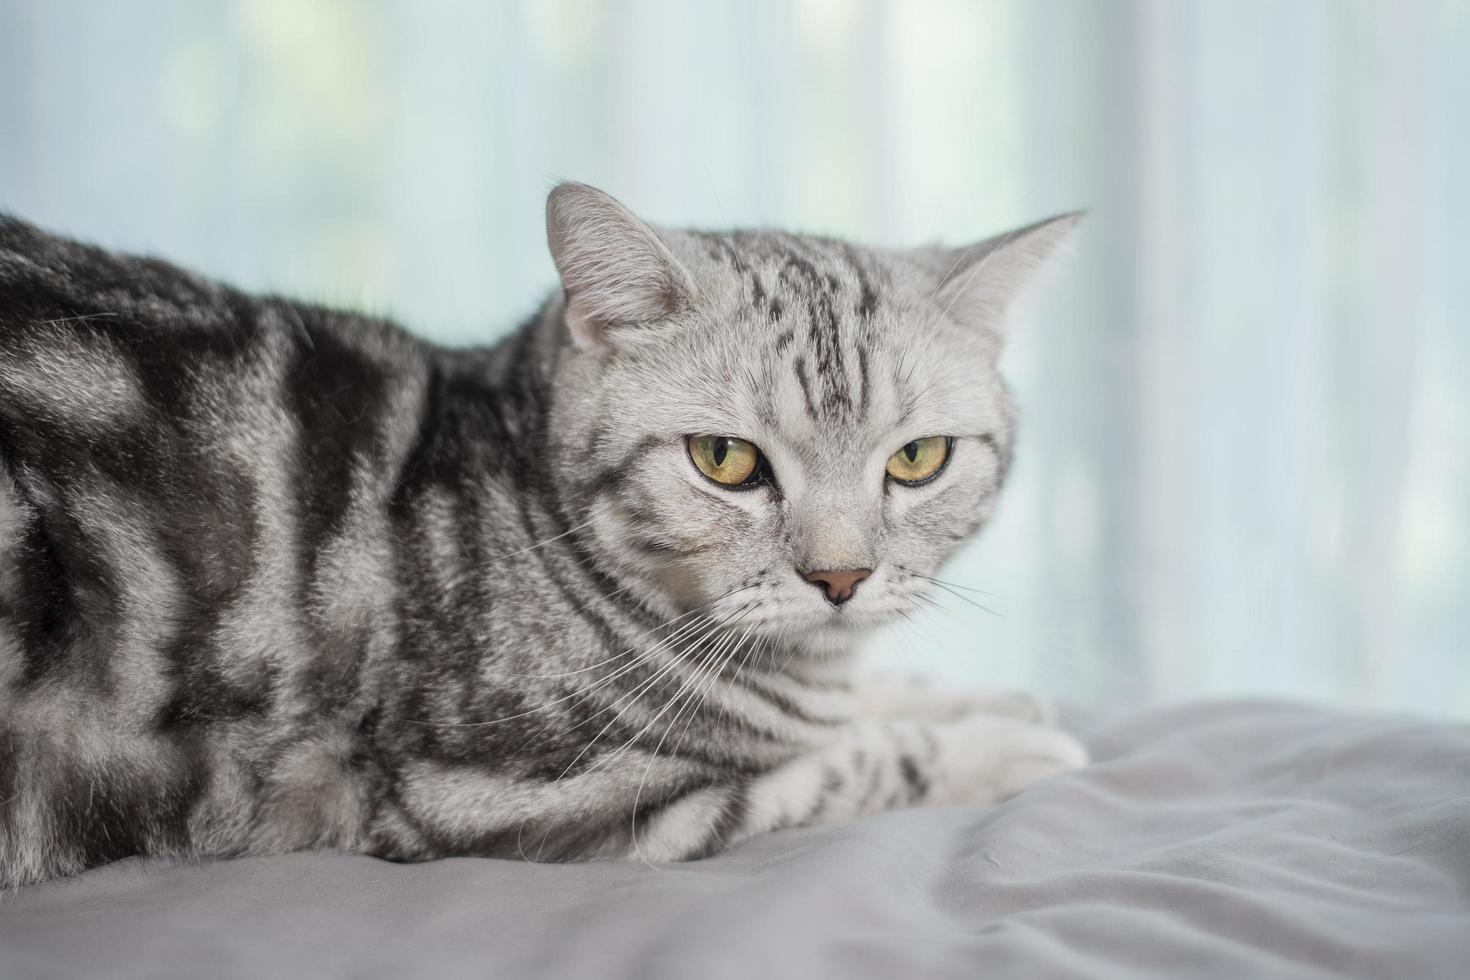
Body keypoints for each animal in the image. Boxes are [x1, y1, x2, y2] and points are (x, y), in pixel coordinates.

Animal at [0, 179, 1087, 887]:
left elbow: (875, 704)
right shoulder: (547, 808)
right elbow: (856, 760)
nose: (842, 577)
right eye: (725, 461)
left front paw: (993, 696)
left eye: (918, 460)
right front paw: (1011, 745)